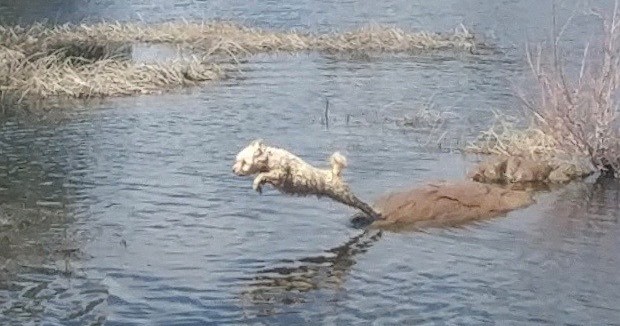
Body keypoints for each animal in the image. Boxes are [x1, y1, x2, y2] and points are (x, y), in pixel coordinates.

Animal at [231, 139, 382, 220]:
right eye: (237, 160)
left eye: (244, 162)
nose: (233, 169)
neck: (269, 159)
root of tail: (334, 173)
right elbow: (263, 176)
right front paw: (259, 186)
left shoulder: (280, 174)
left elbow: (261, 175)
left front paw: (256, 183)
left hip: (343, 194)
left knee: (362, 204)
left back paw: (376, 214)